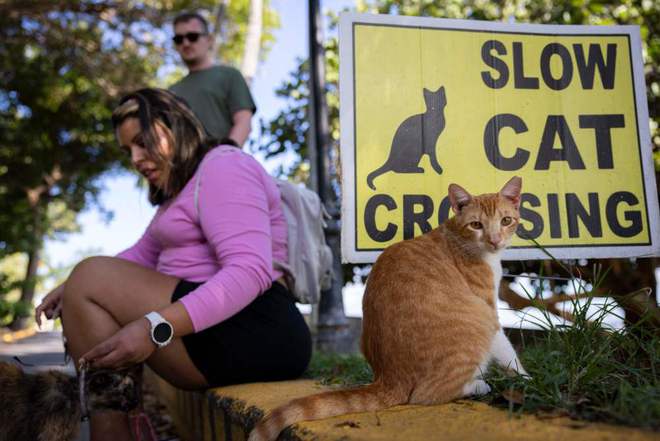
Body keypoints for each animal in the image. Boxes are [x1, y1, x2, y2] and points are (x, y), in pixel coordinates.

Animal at [250, 175, 528, 440]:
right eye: (476, 225)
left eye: (505, 221)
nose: (495, 240)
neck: (462, 240)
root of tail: (389, 378)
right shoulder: (489, 311)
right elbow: (508, 352)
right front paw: (526, 378)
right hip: (477, 321)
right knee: (427, 395)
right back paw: (478, 385)